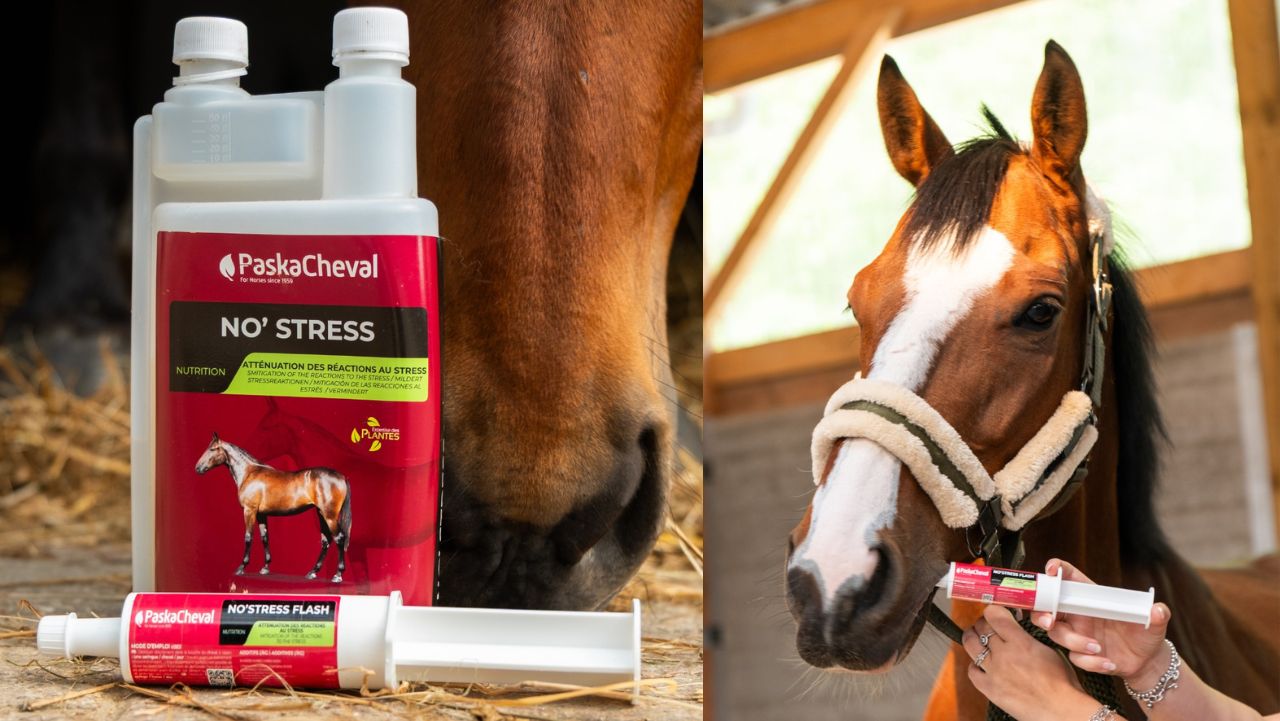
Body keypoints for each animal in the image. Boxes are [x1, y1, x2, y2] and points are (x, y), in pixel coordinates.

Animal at [194, 433, 353, 583]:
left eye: (212, 449)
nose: (198, 468)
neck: (249, 472)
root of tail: (342, 477)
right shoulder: (261, 514)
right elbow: (265, 537)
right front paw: (265, 568)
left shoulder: (249, 511)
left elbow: (248, 537)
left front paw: (241, 567)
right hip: (321, 513)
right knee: (326, 541)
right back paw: (312, 572)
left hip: (329, 516)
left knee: (339, 538)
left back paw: (337, 575)